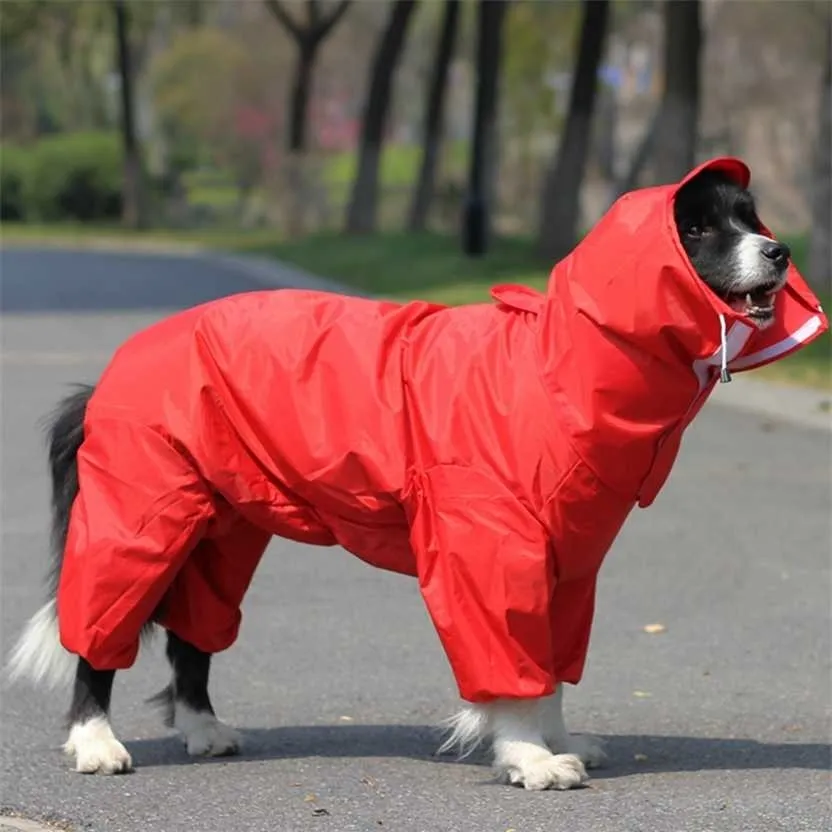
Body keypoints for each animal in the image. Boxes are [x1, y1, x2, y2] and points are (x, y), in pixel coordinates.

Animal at [3, 159, 816, 788]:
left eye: (749, 217)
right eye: (698, 231)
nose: (778, 251)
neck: (558, 362)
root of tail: (106, 376)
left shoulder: (568, 562)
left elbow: (551, 664)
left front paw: (557, 739)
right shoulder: (487, 542)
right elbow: (509, 662)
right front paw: (528, 757)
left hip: (221, 527)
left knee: (191, 635)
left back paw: (205, 730)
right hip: (142, 507)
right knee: (99, 629)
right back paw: (95, 742)